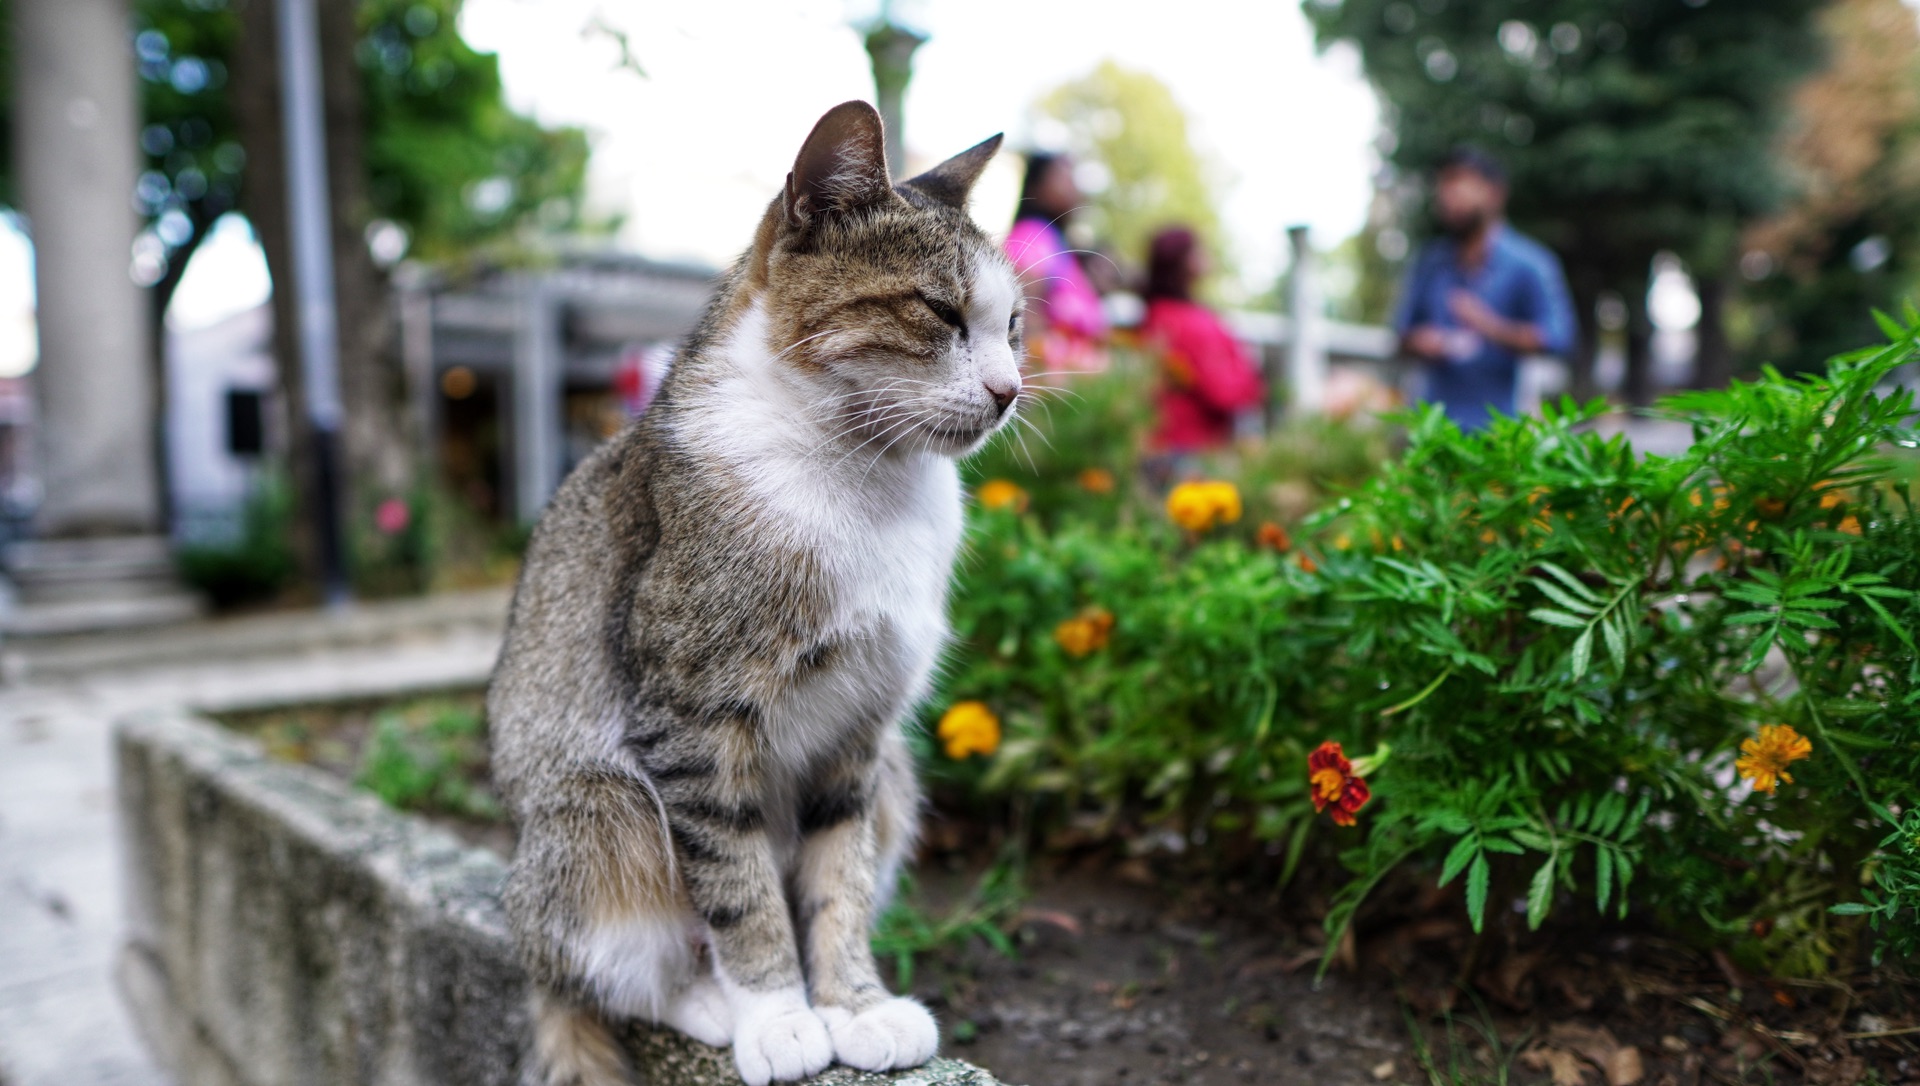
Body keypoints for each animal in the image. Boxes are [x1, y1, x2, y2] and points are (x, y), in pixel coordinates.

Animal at [487, 104, 1029, 1086]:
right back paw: (705, 1001)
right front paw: (779, 1014)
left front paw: (853, 1004)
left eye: (1013, 325)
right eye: (938, 311)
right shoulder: (692, 724)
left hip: (898, 779)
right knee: (605, 971)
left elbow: (838, 877)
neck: (864, 478)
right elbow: (740, 887)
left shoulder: (861, 733)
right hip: (603, 811)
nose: (1010, 392)